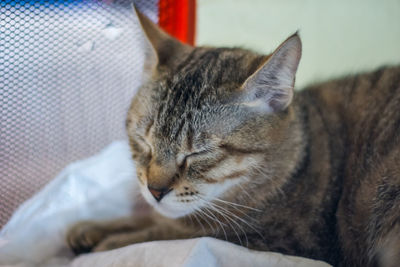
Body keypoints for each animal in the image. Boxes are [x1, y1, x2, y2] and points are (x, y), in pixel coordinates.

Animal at [66, 9, 400, 266]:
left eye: (198, 153)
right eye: (143, 141)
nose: (155, 190)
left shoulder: (273, 239)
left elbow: (170, 233)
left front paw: (112, 242)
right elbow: (157, 219)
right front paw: (95, 227)